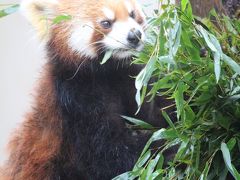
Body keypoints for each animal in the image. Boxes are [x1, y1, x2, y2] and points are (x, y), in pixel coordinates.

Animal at [1, 0, 174, 179]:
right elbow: (108, 155)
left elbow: (153, 112)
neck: (108, 74)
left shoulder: (132, 82)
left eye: (132, 14)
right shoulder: (76, 102)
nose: (134, 35)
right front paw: (167, 146)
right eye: (106, 23)